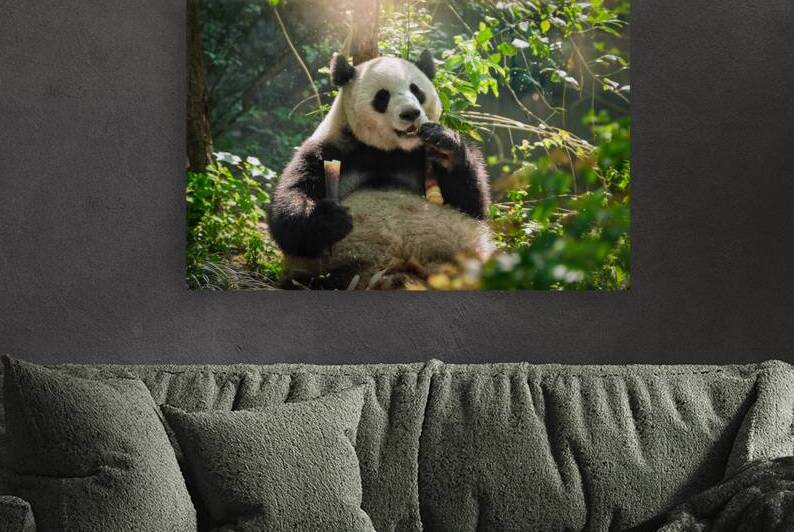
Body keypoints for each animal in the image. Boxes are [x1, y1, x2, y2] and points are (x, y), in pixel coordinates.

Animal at [268, 50, 494, 289]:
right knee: (309, 280)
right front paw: (331, 219)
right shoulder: (327, 150)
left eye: (416, 90)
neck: (388, 150)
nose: (411, 113)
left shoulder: (419, 156)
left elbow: (471, 203)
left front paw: (444, 146)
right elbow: (287, 212)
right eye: (382, 96)